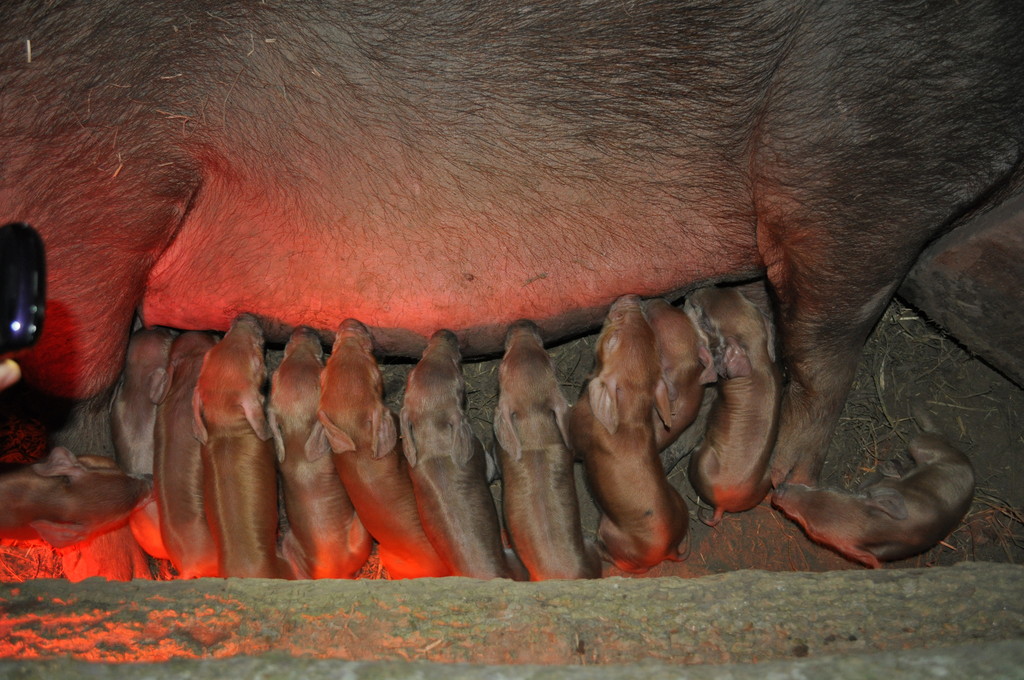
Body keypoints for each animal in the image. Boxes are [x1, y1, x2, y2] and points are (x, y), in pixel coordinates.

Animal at [569, 295, 689, 573]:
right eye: (652, 336)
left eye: (613, 338)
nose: (632, 298)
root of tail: (669, 550)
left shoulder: (578, 433)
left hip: (611, 532)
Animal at [684, 285, 782, 525]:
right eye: (734, 292)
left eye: (707, 322)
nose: (691, 293)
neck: (758, 357)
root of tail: (722, 506)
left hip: (698, 457)